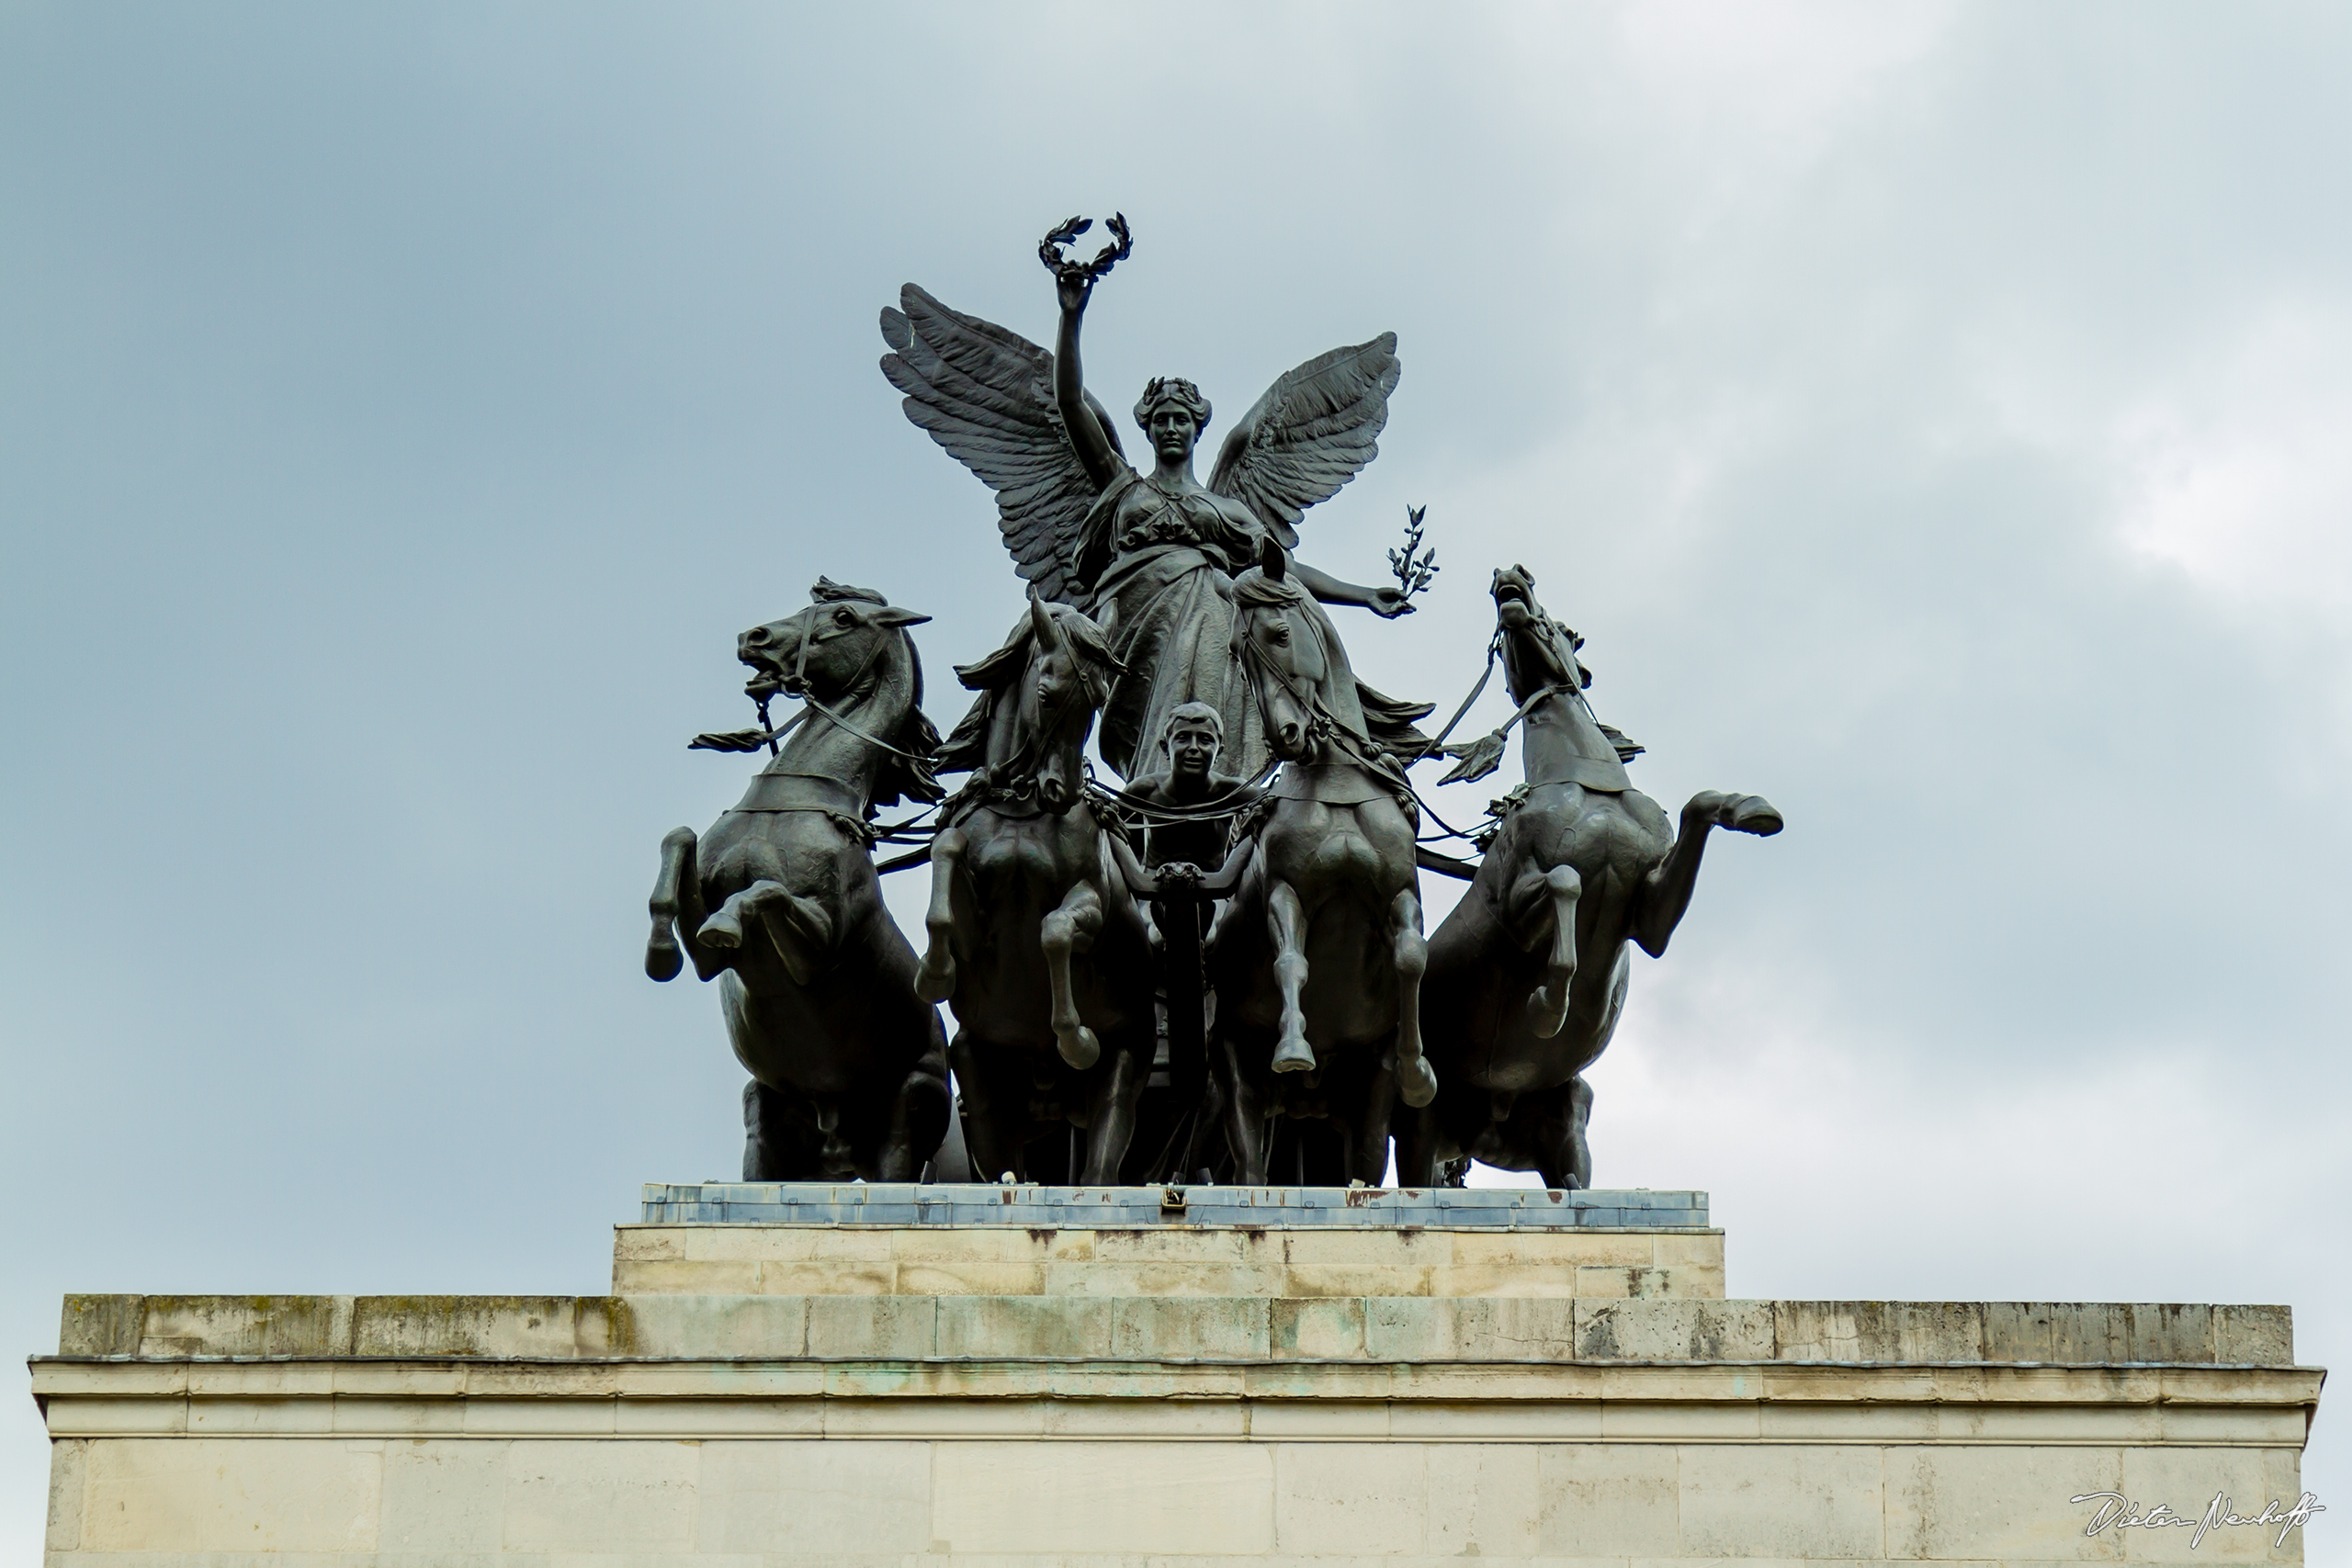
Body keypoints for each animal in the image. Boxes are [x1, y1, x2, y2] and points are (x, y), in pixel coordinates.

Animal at [639, 582, 950, 1184]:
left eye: (844, 616)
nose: (752, 637)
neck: (795, 804)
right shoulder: (709, 960)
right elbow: (678, 840)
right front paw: (661, 952)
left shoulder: (819, 947)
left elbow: (764, 893)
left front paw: (726, 922)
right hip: (769, 1117)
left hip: (913, 1105)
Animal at [908, 594, 1157, 1184]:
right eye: (1046, 695)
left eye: (1098, 700)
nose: (1058, 791)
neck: (1021, 810)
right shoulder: (975, 919)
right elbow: (946, 852)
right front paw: (934, 971)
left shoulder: (1092, 897)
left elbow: (1056, 929)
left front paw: (1074, 1036)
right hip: (980, 1078)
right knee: (1005, 1168)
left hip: (1127, 1063)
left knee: (1101, 1165)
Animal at [1213, 543, 1430, 1189]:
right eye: (1237, 656)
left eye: (1281, 634)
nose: (1288, 736)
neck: (1335, 784)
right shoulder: (1288, 891)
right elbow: (1291, 960)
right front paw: (1293, 1047)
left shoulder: (1399, 893)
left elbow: (1411, 957)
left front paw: (1420, 1071)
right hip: (1239, 1081)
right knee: (1250, 1168)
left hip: (1365, 1105)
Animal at [1401, 564, 1769, 1189]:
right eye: (1500, 645)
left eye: (1568, 631)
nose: (1510, 579)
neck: (1586, 785)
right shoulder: (1516, 903)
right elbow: (1566, 881)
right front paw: (1548, 1005)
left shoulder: (1650, 921)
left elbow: (1699, 805)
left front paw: (1754, 811)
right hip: (1422, 1128)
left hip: (1562, 1125)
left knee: (1570, 1180)